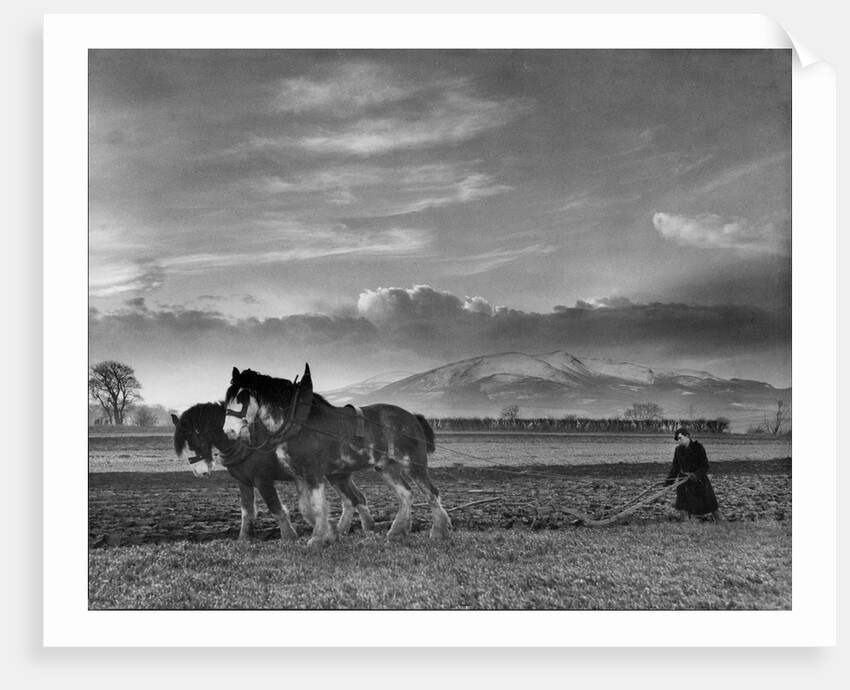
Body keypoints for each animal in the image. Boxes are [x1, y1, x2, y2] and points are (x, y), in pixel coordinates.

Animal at [172, 402, 375, 542]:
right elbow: (246, 511)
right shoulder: (243, 482)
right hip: (337, 475)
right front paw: (244, 537)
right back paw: (349, 529)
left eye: (193, 439)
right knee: (354, 499)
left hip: (337, 476)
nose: (199, 472)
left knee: (354, 499)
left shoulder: (263, 481)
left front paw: (289, 536)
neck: (246, 442)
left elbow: (275, 508)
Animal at [222, 364, 452, 547]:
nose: (229, 431)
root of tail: (413, 416)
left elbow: (317, 505)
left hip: (414, 464)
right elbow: (306, 508)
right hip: (387, 468)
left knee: (431, 493)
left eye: (242, 398)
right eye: (227, 398)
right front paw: (330, 534)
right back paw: (396, 531)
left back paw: (439, 531)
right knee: (406, 494)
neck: (298, 423)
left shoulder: (313, 472)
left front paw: (317, 539)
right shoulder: (299, 476)